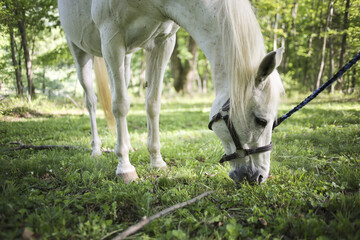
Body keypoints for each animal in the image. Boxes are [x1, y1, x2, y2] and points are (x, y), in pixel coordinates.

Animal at [58, 0, 284, 184]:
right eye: (261, 121)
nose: (259, 177)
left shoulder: (163, 42)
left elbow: (152, 104)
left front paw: (156, 161)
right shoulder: (111, 38)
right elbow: (120, 105)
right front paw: (125, 167)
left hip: (127, 57)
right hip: (79, 51)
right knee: (91, 101)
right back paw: (97, 149)